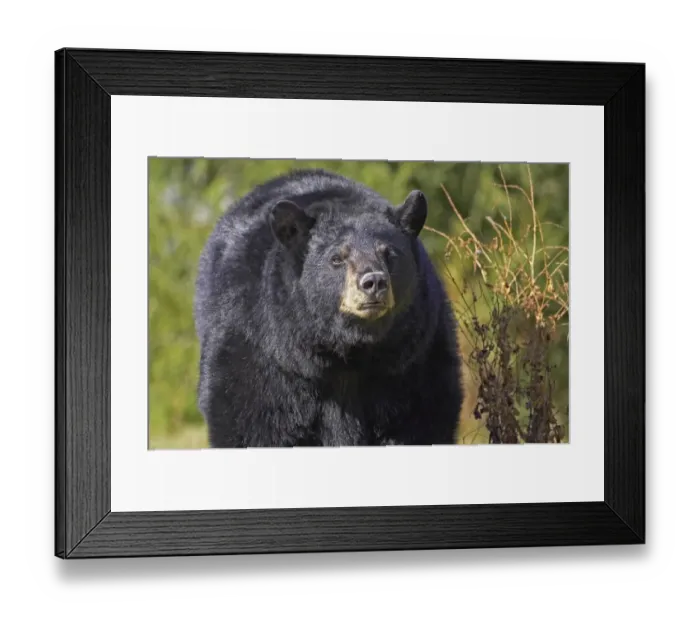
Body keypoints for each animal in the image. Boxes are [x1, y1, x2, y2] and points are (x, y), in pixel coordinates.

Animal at [193, 168, 464, 448]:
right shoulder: (261, 348)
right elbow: (251, 421)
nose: (374, 282)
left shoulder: (413, 356)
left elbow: (420, 418)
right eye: (337, 258)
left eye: (389, 253)